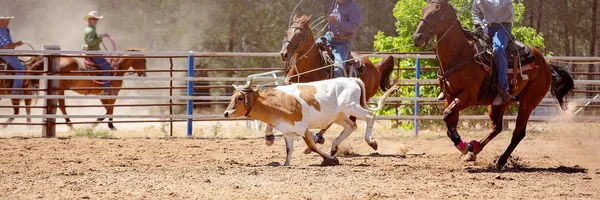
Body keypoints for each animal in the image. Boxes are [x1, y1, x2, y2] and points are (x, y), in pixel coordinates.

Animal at [223, 77, 396, 165]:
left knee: (370, 116)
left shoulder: (302, 127)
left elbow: (312, 145)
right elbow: (289, 149)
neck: (278, 102)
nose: (225, 113)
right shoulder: (287, 131)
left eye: (239, 98)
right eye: (232, 97)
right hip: (339, 115)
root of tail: (351, 79)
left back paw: (371, 141)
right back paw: (334, 146)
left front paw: (331, 159)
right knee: (351, 126)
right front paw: (286, 164)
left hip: (352, 107)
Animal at [278, 14, 396, 152]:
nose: (284, 54)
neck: (307, 69)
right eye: (287, 32)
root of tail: (375, 68)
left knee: (353, 120)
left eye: (300, 34)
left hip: (357, 101)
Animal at [412, 0, 572, 170]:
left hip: (529, 102)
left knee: (518, 132)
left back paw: (500, 160)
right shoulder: (450, 98)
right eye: (424, 10)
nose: (417, 37)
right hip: (499, 103)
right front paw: (466, 147)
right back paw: (475, 148)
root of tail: (546, 65)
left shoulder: (468, 97)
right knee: (496, 127)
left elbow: (447, 116)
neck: (461, 53)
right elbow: (449, 123)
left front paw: (464, 147)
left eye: (437, 13)